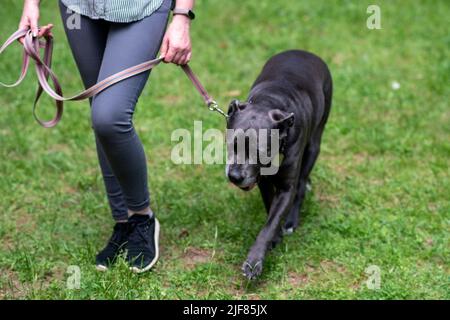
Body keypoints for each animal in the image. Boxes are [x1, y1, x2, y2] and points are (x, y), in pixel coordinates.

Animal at [227, 50, 332, 280]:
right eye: (231, 144)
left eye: (260, 151)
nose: (235, 177)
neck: (269, 102)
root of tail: (305, 52)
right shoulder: (263, 182)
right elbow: (270, 211)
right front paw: (273, 239)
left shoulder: (286, 187)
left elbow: (272, 222)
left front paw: (254, 261)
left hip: (314, 143)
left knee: (301, 183)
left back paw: (291, 221)